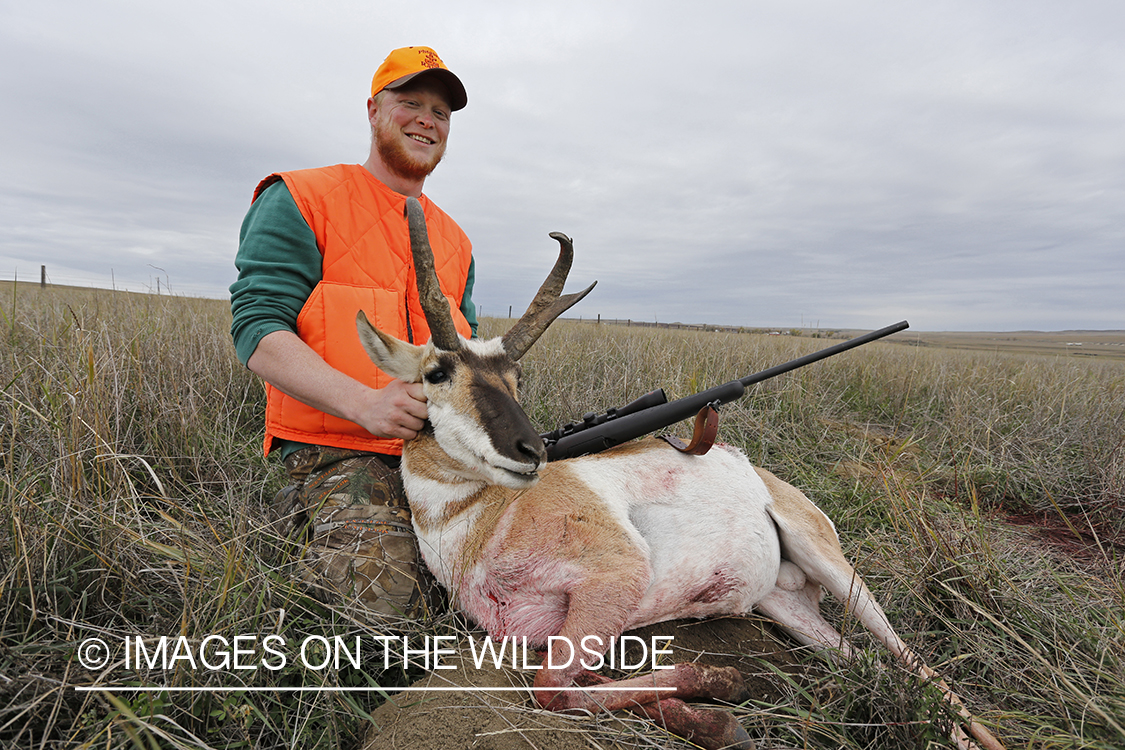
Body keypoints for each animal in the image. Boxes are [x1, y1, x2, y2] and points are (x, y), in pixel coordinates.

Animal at [353, 197, 1003, 750]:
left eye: (517, 378)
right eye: (437, 372)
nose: (531, 451)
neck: (472, 523)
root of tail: (765, 478)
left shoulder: (613, 578)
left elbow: (552, 691)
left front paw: (721, 689)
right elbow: (570, 685)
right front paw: (716, 721)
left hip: (835, 568)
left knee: (922, 669)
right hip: (785, 606)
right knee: (871, 661)